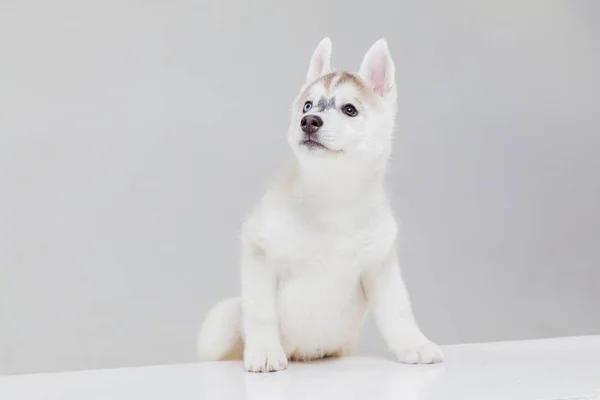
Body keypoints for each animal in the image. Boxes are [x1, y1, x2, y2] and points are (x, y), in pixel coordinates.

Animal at [197, 36, 440, 372]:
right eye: (307, 105)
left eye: (350, 109)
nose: (309, 121)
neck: (332, 194)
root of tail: (302, 353)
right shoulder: (259, 251)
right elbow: (261, 313)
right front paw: (264, 351)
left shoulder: (380, 265)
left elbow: (397, 310)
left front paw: (414, 344)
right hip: (220, 323)